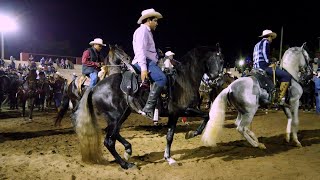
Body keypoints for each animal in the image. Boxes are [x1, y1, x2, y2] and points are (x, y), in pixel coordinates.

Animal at [73, 45, 224, 169]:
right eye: (221, 61)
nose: (220, 82)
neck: (184, 79)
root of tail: (94, 88)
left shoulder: (173, 115)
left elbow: (170, 136)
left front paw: (169, 158)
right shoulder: (183, 110)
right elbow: (206, 116)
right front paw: (191, 134)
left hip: (122, 115)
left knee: (113, 135)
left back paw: (128, 150)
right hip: (115, 118)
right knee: (109, 141)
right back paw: (126, 164)